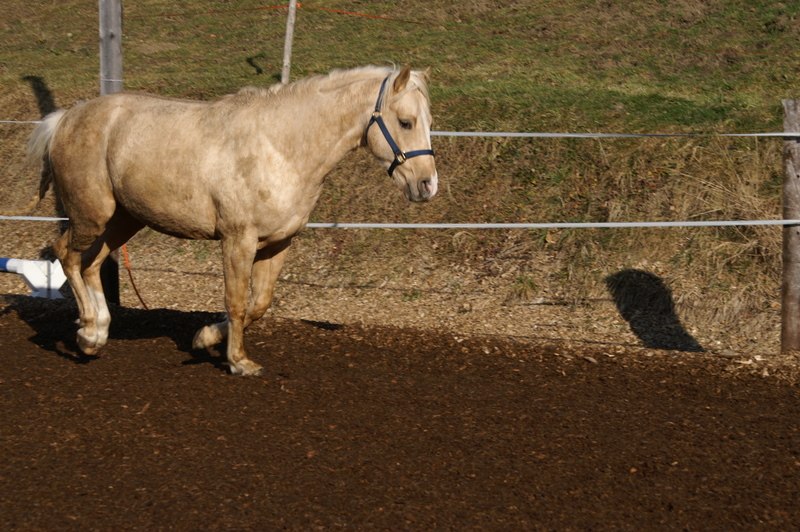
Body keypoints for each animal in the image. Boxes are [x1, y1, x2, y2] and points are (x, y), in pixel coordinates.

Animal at [8, 65, 438, 375]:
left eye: (428, 121)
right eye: (405, 121)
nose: (427, 185)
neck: (280, 148)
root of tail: (67, 116)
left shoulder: (279, 243)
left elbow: (258, 304)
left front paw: (204, 339)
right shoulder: (237, 240)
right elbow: (235, 301)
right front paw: (239, 362)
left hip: (124, 220)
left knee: (91, 263)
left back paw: (98, 329)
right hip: (91, 214)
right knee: (67, 255)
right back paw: (87, 334)